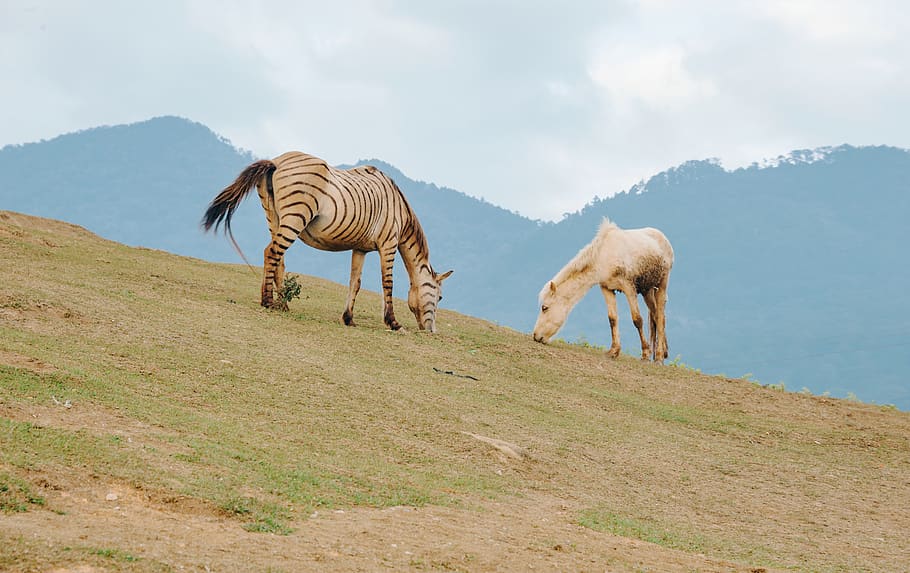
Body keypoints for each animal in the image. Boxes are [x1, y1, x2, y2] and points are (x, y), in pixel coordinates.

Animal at [202, 151, 453, 332]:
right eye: (440, 297)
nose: (432, 331)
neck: (399, 209)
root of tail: (276, 161)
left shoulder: (360, 248)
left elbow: (355, 283)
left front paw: (348, 318)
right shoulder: (388, 244)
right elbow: (387, 284)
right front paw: (393, 323)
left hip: (274, 216)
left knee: (278, 257)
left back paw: (282, 304)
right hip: (295, 216)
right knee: (271, 252)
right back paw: (268, 301)